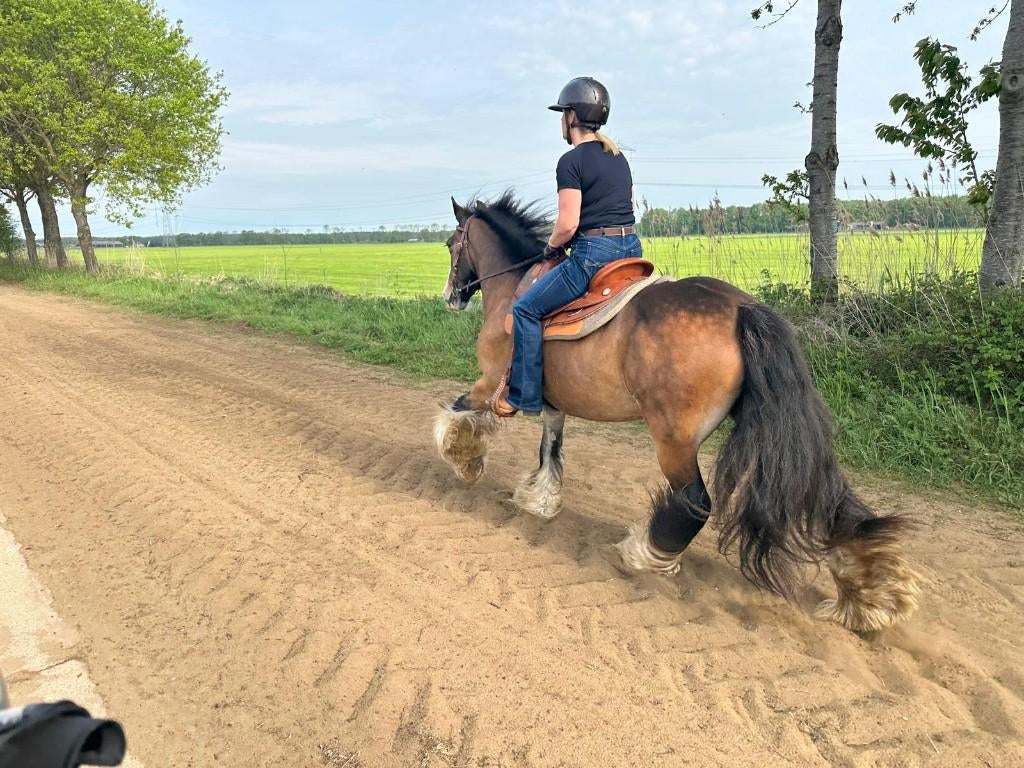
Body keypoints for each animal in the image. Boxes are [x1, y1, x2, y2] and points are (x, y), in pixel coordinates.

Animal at [433, 191, 920, 633]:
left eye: (451, 244)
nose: (450, 296)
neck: (513, 288)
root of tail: (743, 309)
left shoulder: (489, 384)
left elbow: (457, 412)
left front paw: (463, 459)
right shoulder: (554, 406)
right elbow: (550, 450)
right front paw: (539, 499)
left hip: (674, 439)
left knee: (696, 503)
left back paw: (644, 553)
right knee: (829, 499)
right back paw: (868, 599)